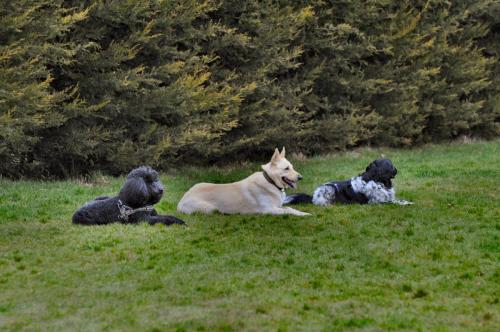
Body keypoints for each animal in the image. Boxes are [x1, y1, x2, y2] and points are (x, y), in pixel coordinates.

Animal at [176, 147, 308, 215]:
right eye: (286, 168)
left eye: (292, 167)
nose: (301, 177)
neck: (270, 181)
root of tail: (181, 201)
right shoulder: (268, 210)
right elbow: (289, 211)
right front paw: (305, 214)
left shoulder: (278, 207)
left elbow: (290, 208)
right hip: (210, 208)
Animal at [284, 158, 412, 205]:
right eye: (390, 164)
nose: (396, 170)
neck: (377, 180)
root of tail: (313, 196)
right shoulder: (377, 202)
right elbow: (397, 202)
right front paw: (408, 203)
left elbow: (398, 199)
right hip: (330, 189)